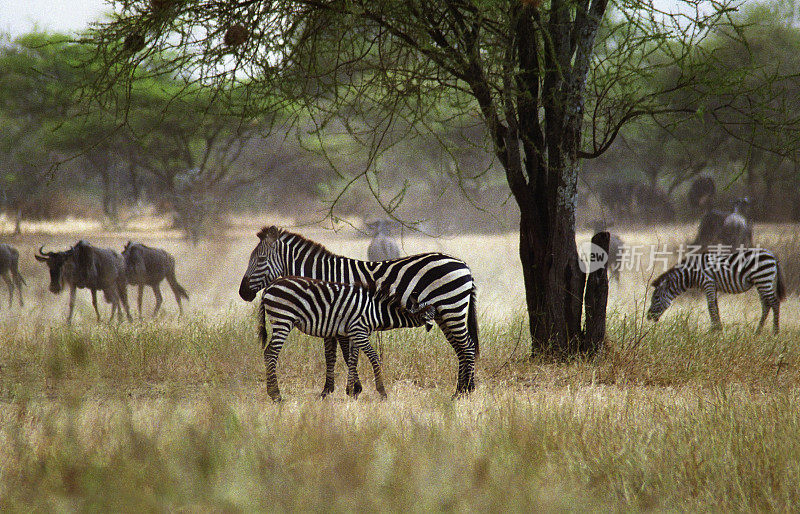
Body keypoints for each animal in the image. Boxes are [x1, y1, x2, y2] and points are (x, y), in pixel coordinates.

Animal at [258, 276, 434, 400]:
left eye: (434, 314)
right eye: (429, 314)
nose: (432, 326)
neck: (375, 311)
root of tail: (270, 286)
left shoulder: (355, 333)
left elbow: (352, 359)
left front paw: (351, 391)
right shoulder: (359, 331)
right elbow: (374, 358)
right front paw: (382, 392)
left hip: (281, 320)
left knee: (267, 353)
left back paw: (273, 393)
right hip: (283, 319)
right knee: (271, 353)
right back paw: (276, 395)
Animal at [648, 247, 784, 332]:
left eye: (656, 298)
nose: (648, 317)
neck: (692, 274)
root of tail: (773, 256)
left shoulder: (708, 283)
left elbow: (711, 307)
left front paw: (714, 330)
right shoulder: (713, 287)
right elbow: (715, 306)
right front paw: (718, 328)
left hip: (763, 279)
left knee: (774, 303)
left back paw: (775, 332)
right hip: (763, 282)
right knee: (766, 305)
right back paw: (758, 331)